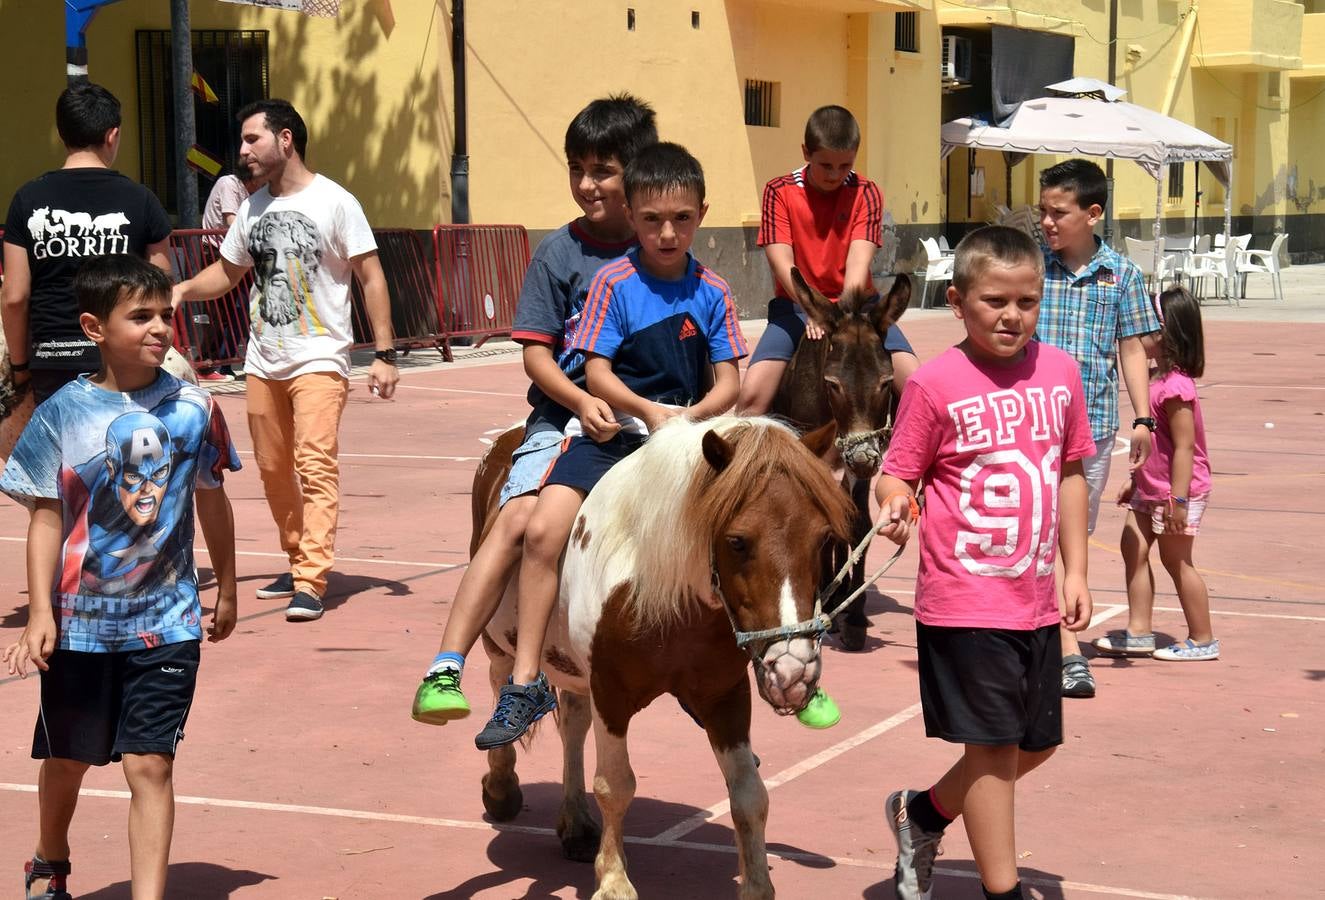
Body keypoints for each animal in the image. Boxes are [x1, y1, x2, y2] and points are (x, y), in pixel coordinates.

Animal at [474, 416, 848, 900]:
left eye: (823, 540)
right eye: (737, 541)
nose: (793, 669)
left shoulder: (725, 695)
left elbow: (749, 793)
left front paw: (757, 885)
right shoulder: (610, 691)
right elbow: (615, 786)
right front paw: (614, 881)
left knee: (572, 724)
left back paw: (575, 822)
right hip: (503, 642)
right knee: (502, 683)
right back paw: (501, 786)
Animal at [768, 269, 911, 654]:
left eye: (886, 382)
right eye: (832, 384)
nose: (861, 459)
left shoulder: (857, 471)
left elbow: (858, 525)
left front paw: (856, 619)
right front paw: (823, 597)